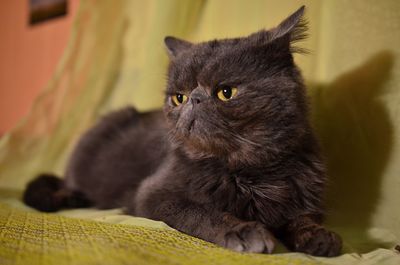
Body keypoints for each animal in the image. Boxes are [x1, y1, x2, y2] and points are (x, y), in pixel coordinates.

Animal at [23, 6, 344, 256]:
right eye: (179, 97)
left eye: (226, 92)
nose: (194, 99)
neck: (251, 170)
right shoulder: (155, 193)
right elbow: (202, 212)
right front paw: (244, 231)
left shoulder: (304, 192)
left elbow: (302, 217)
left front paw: (320, 236)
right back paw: (70, 198)